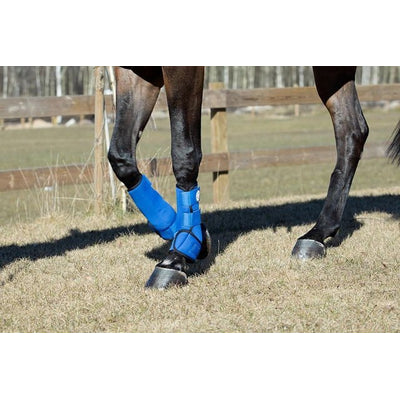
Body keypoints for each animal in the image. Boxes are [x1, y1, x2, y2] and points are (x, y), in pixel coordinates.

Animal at [107, 66, 400, 289]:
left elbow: (184, 153)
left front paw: (180, 253)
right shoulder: (136, 69)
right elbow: (121, 157)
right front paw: (183, 233)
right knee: (351, 130)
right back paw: (317, 234)